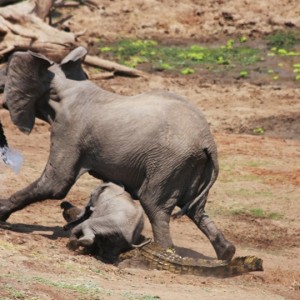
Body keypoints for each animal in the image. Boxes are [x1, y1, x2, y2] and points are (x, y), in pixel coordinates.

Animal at [0, 46, 236, 260]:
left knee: (155, 206)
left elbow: (56, 183)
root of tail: (208, 141)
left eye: (3, 78)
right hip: (193, 165)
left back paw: (162, 254)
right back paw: (226, 254)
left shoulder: (69, 129)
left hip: (169, 162)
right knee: (197, 211)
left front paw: (1, 213)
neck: (64, 86)